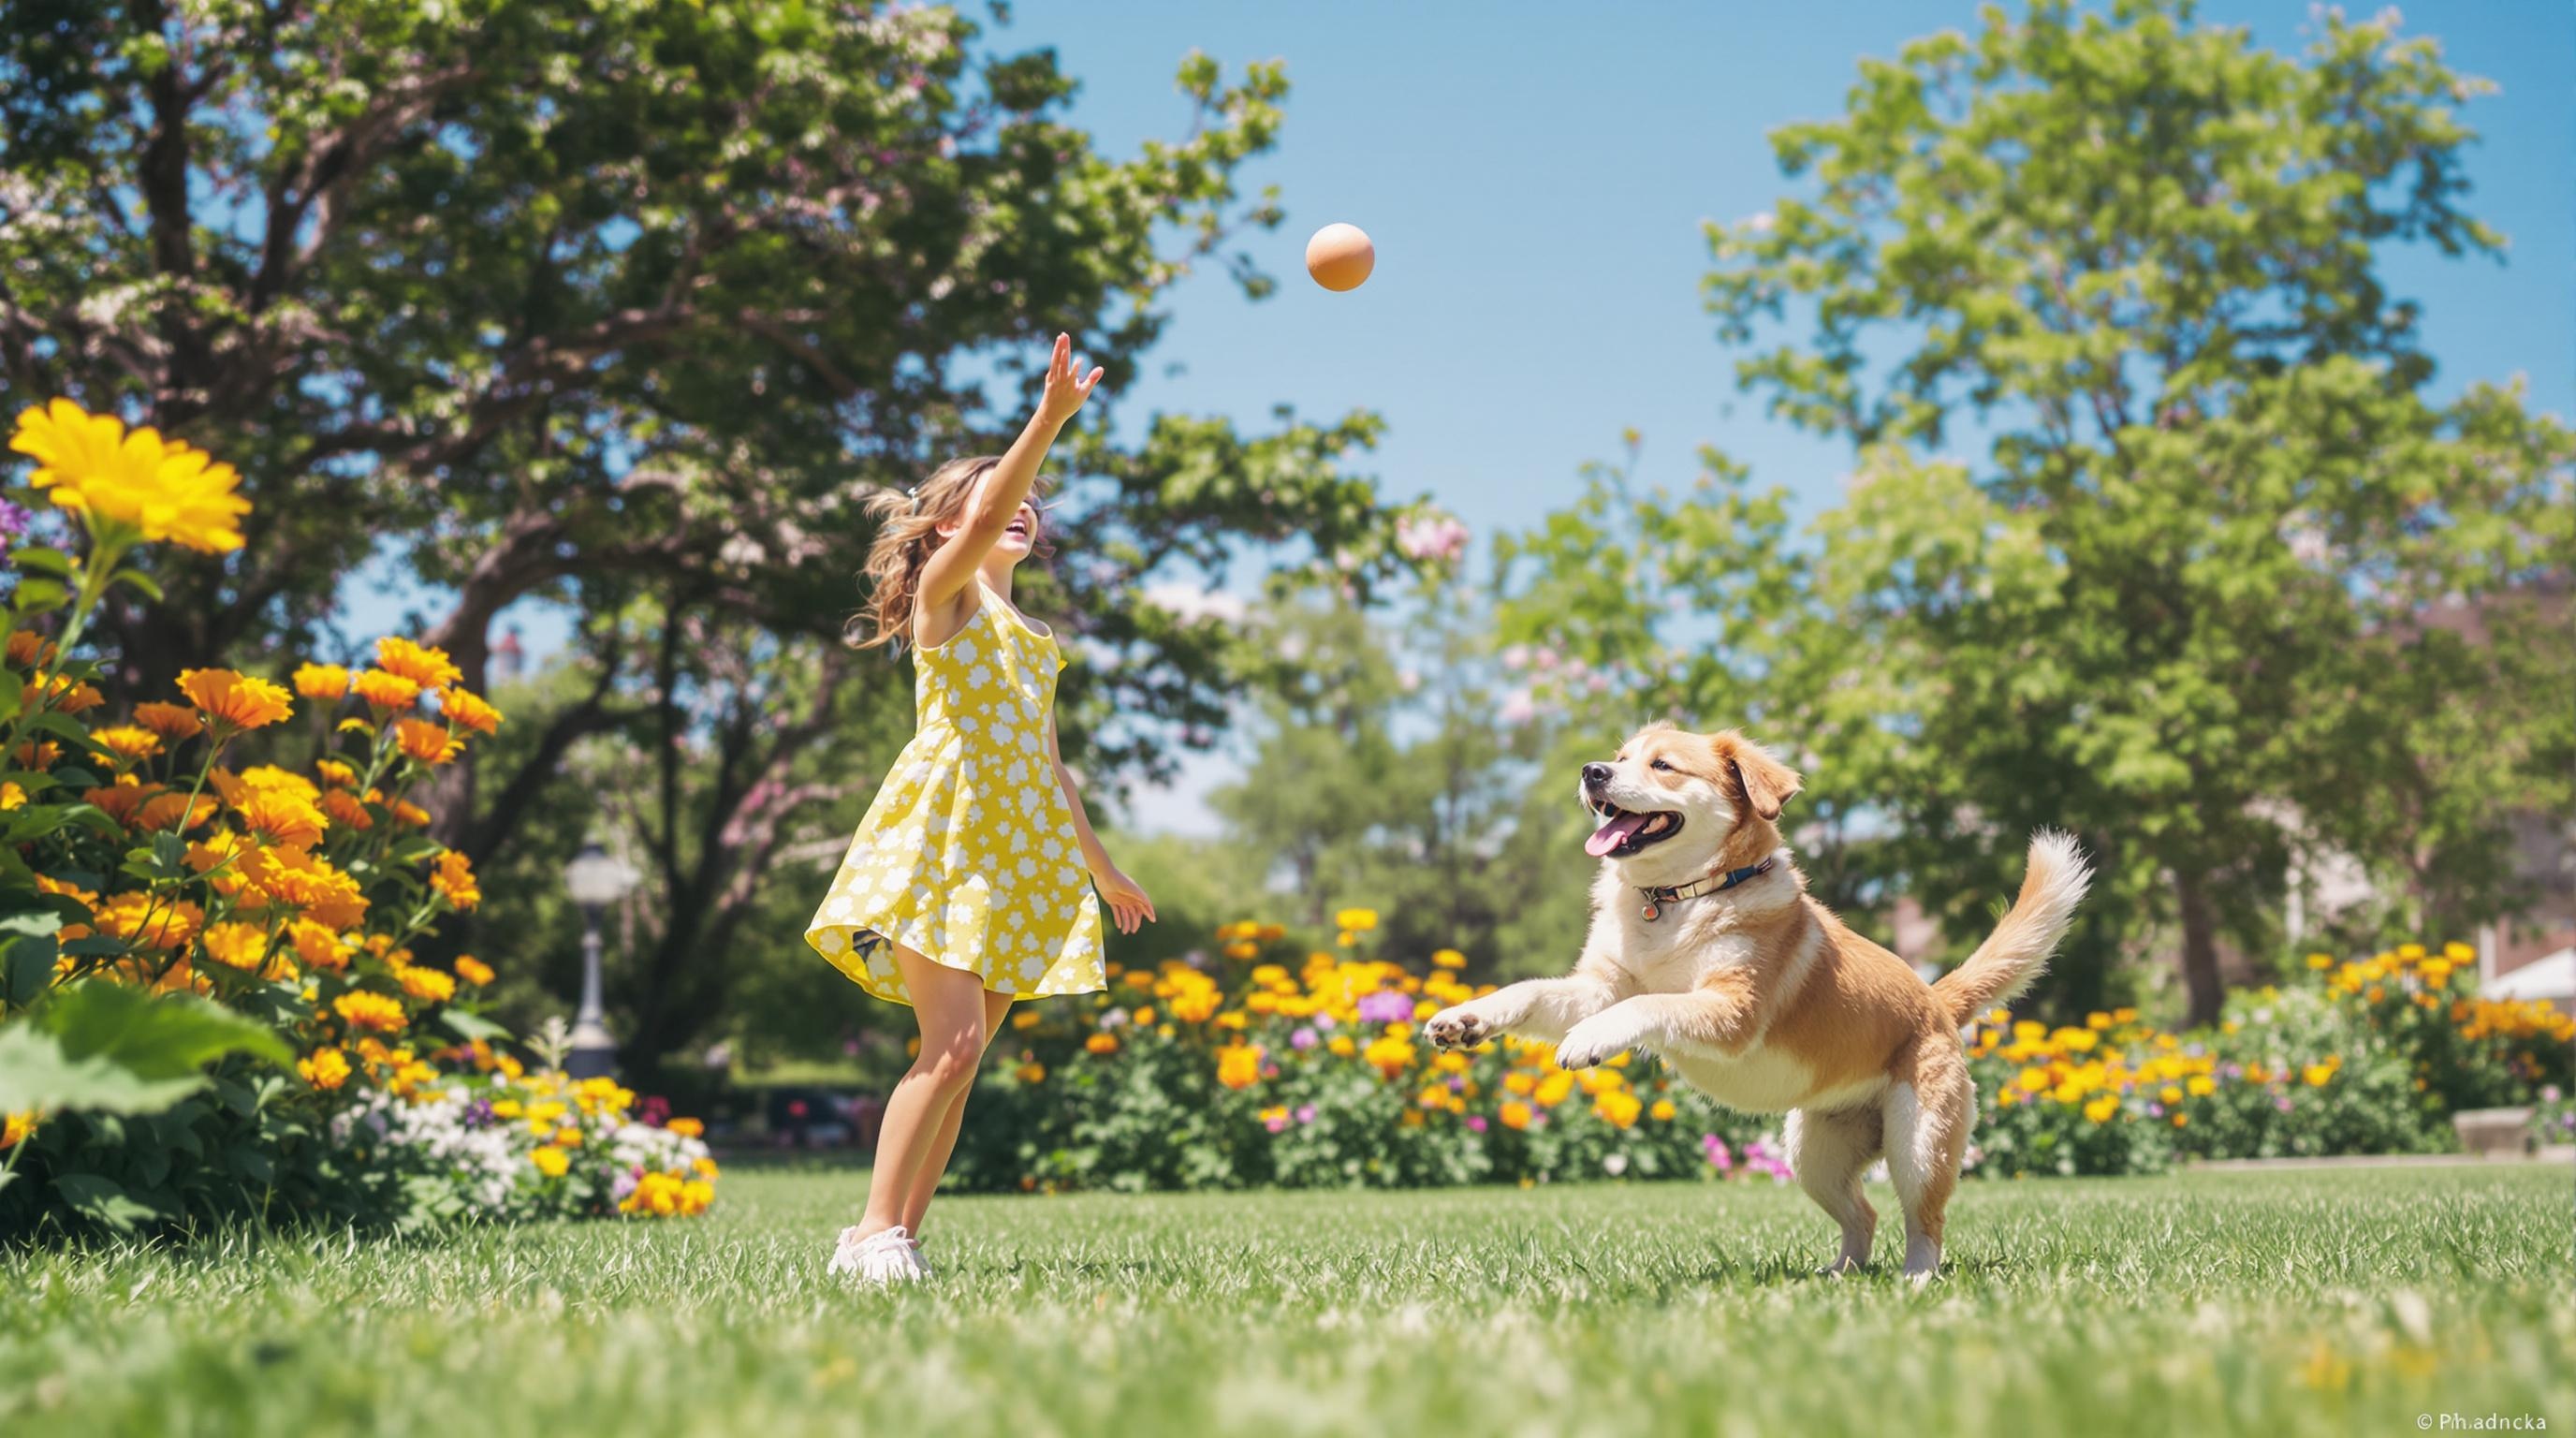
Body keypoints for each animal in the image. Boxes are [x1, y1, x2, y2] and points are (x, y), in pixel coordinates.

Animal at [1422, 726, 2081, 1288]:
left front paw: (1588, 1040)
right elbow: (1532, 992)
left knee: (1925, 1221)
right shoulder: (1600, 986)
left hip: (1918, 1145)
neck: (1675, 900)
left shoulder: (1730, 1009)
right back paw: (1839, 1274)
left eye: (1663, 765)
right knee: (1863, 1215)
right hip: (1814, 1153)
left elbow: (1653, 1002)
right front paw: (1466, 1018)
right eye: (1621, 754)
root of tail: (1937, 999)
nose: (1592, 772)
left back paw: (1916, 1278)